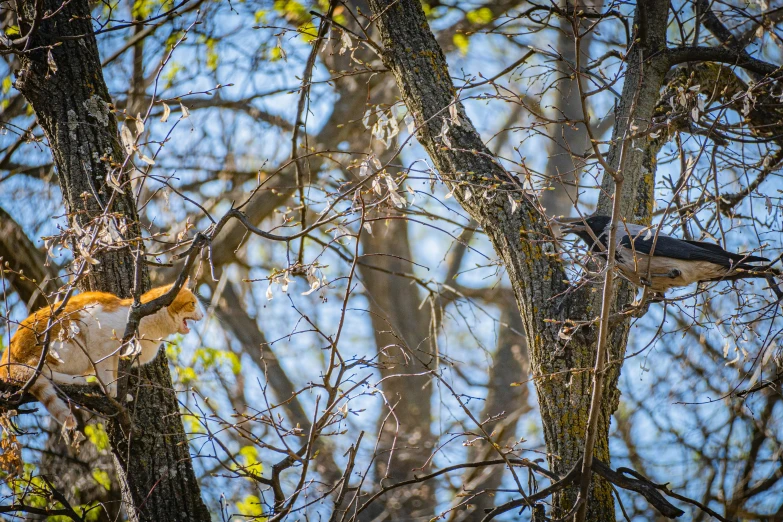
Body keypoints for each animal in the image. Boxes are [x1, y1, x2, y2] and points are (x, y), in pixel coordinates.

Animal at [0, 284, 202, 426]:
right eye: (193, 304)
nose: (201, 315)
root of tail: (6, 358)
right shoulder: (100, 339)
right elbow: (104, 369)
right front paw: (109, 390)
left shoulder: (117, 357)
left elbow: (113, 373)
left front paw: (119, 393)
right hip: (63, 343)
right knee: (39, 371)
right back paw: (76, 380)